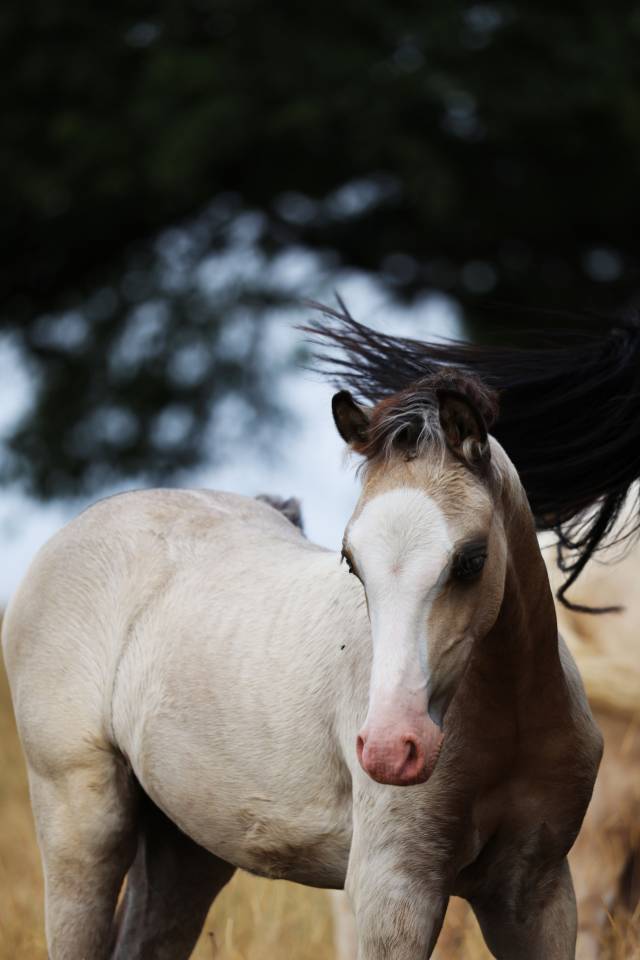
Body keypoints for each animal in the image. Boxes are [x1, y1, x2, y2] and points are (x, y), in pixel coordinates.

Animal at [3, 368, 602, 960]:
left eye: (472, 560)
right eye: (351, 561)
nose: (389, 749)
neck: (510, 722)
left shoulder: (535, 893)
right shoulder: (396, 892)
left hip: (184, 848)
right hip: (81, 824)